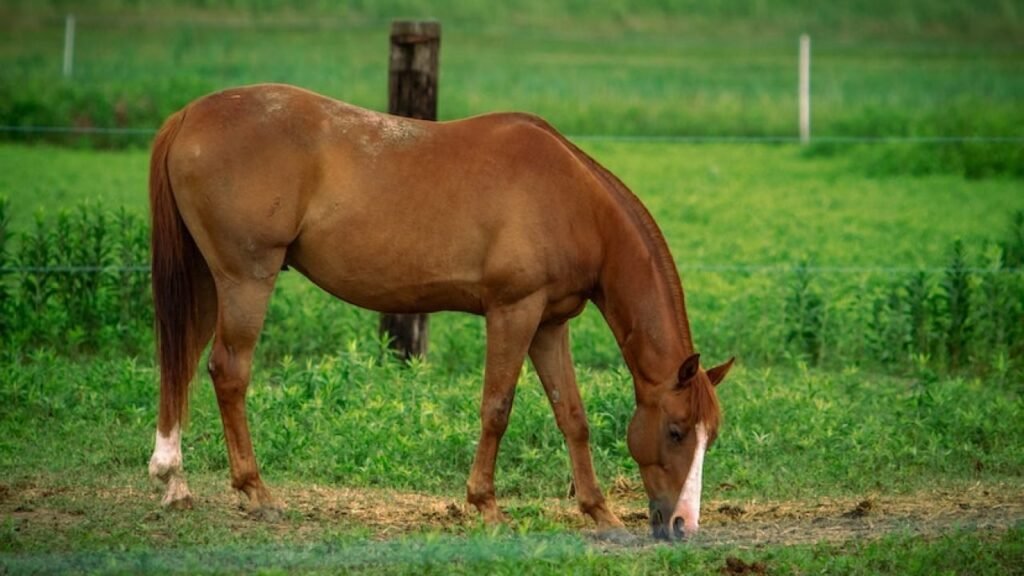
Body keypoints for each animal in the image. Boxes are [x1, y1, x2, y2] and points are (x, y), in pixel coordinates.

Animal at [146, 83, 733, 541]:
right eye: (676, 430)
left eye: (711, 435)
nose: (683, 525)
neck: (574, 201)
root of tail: (187, 115)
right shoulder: (513, 311)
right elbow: (497, 407)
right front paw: (487, 506)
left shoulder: (549, 323)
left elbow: (573, 416)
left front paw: (601, 513)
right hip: (246, 280)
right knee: (228, 371)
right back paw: (255, 491)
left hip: (206, 280)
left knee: (179, 365)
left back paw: (173, 481)